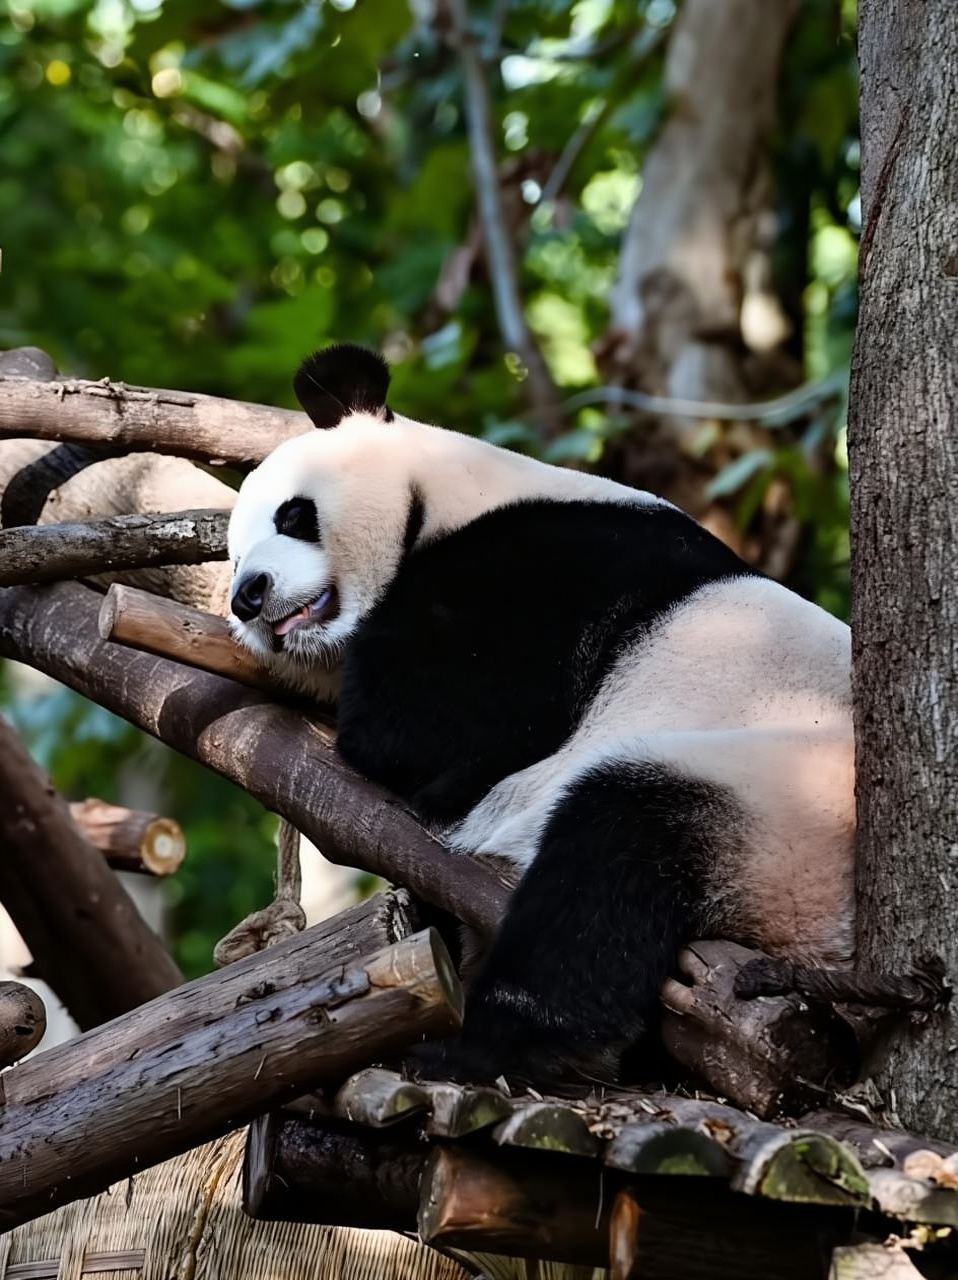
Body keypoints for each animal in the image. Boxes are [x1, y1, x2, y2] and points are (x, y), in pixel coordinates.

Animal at [228, 342, 855, 1084]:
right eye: (231, 555)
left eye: (293, 516)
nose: (247, 594)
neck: (454, 490)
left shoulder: (544, 568)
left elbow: (433, 725)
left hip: (780, 801)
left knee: (608, 860)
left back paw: (491, 1045)